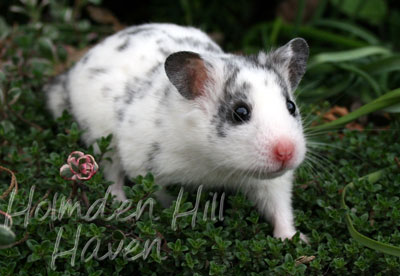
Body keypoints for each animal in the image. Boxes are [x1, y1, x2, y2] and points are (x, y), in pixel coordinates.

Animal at [46, 22, 310, 240]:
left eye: (291, 106)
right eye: (240, 112)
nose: (286, 152)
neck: (218, 165)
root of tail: (72, 71)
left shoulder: (274, 182)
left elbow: (280, 208)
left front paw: (293, 240)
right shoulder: (145, 169)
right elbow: (160, 196)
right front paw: (182, 211)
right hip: (102, 140)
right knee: (112, 175)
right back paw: (122, 205)